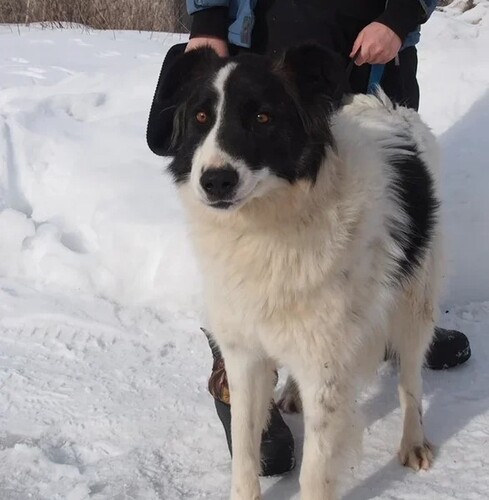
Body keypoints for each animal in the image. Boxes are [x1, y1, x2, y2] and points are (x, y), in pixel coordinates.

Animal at [164, 45, 441, 500]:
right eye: (202, 117)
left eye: (263, 117)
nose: (215, 181)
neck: (266, 226)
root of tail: (387, 109)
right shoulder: (244, 354)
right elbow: (244, 451)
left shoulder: (326, 369)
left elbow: (315, 472)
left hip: (415, 305)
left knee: (411, 380)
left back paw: (413, 440)